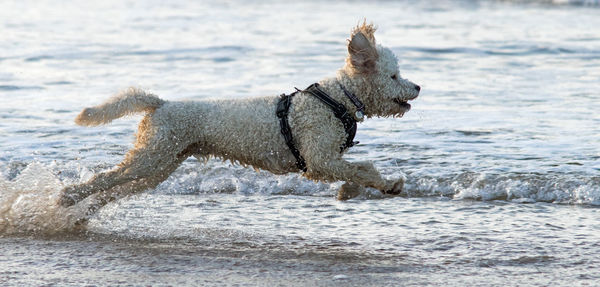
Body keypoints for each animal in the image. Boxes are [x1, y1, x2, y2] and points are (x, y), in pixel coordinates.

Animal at [58, 22, 420, 210]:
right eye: (393, 76)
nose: (417, 86)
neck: (336, 99)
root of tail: (160, 104)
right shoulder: (319, 158)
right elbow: (364, 167)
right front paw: (387, 184)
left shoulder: (328, 159)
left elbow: (356, 171)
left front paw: (355, 190)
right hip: (151, 157)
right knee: (107, 178)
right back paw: (66, 197)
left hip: (162, 162)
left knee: (115, 188)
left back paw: (82, 213)